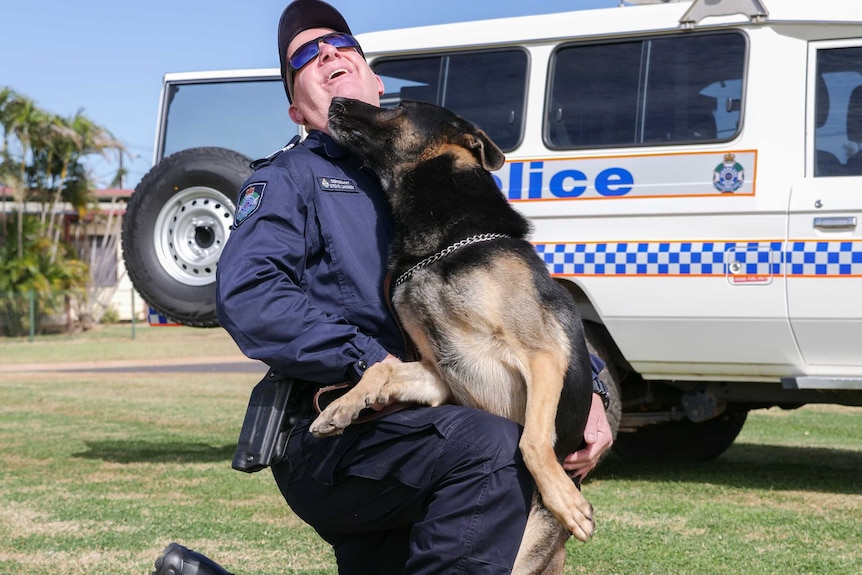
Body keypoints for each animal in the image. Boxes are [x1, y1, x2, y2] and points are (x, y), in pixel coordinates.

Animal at [314, 99, 596, 575]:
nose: (336, 103)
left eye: (397, 108)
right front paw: (341, 407)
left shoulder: (542, 355)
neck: (445, 245)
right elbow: (380, 369)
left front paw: (565, 498)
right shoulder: (439, 373)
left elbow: (533, 439)